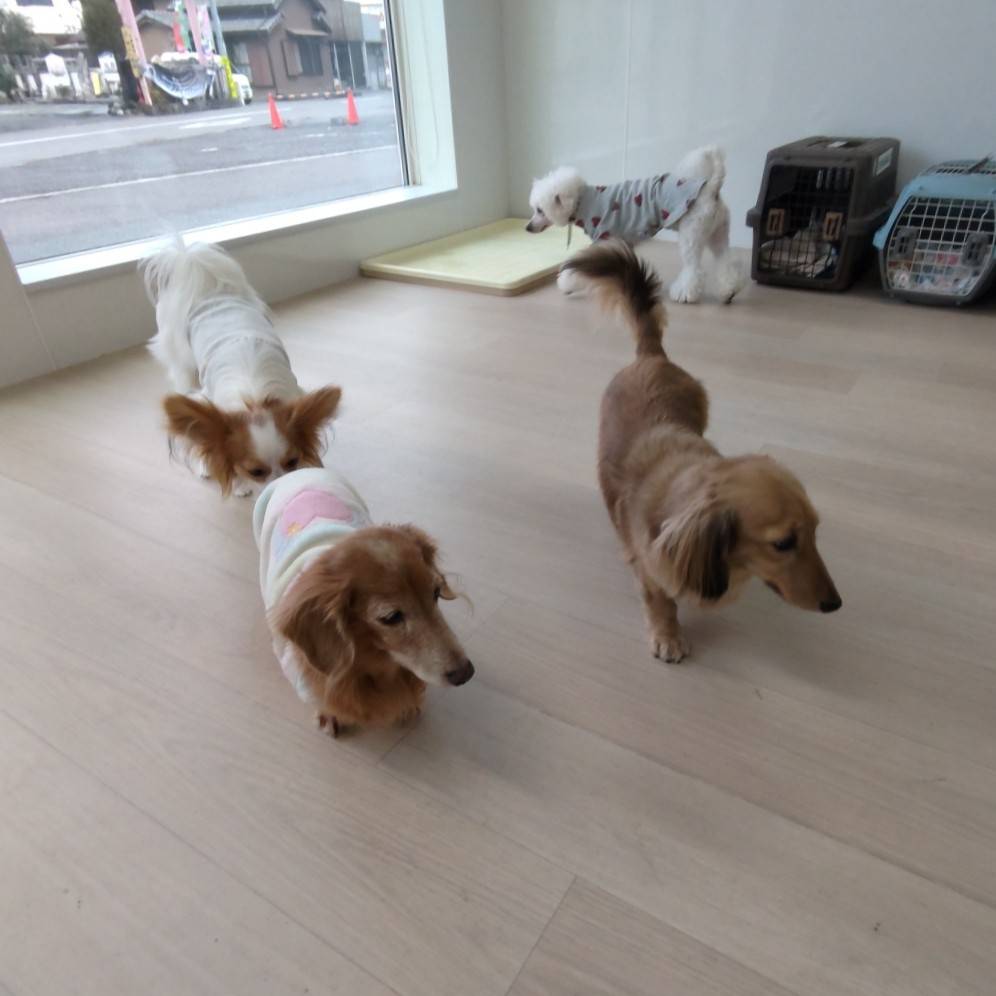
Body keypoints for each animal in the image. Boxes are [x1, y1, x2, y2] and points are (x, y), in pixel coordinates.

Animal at [142, 240, 342, 497]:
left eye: (292, 462)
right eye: (255, 472)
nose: (279, 486)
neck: (255, 399)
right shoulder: (206, 397)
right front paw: (237, 484)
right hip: (181, 358)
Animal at [526, 145, 744, 305]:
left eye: (539, 210)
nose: (527, 228)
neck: (583, 201)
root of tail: (711, 187)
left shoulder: (603, 237)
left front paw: (568, 283)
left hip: (692, 233)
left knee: (693, 269)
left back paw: (684, 293)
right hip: (717, 233)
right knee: (724, 262)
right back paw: (728, 291)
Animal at [561, 241, 840, 662]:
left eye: (815, 532)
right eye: (783, 544)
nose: (835, 604)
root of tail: (650, 356)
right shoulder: (651, 570)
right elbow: (660, 601)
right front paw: (668, 636)